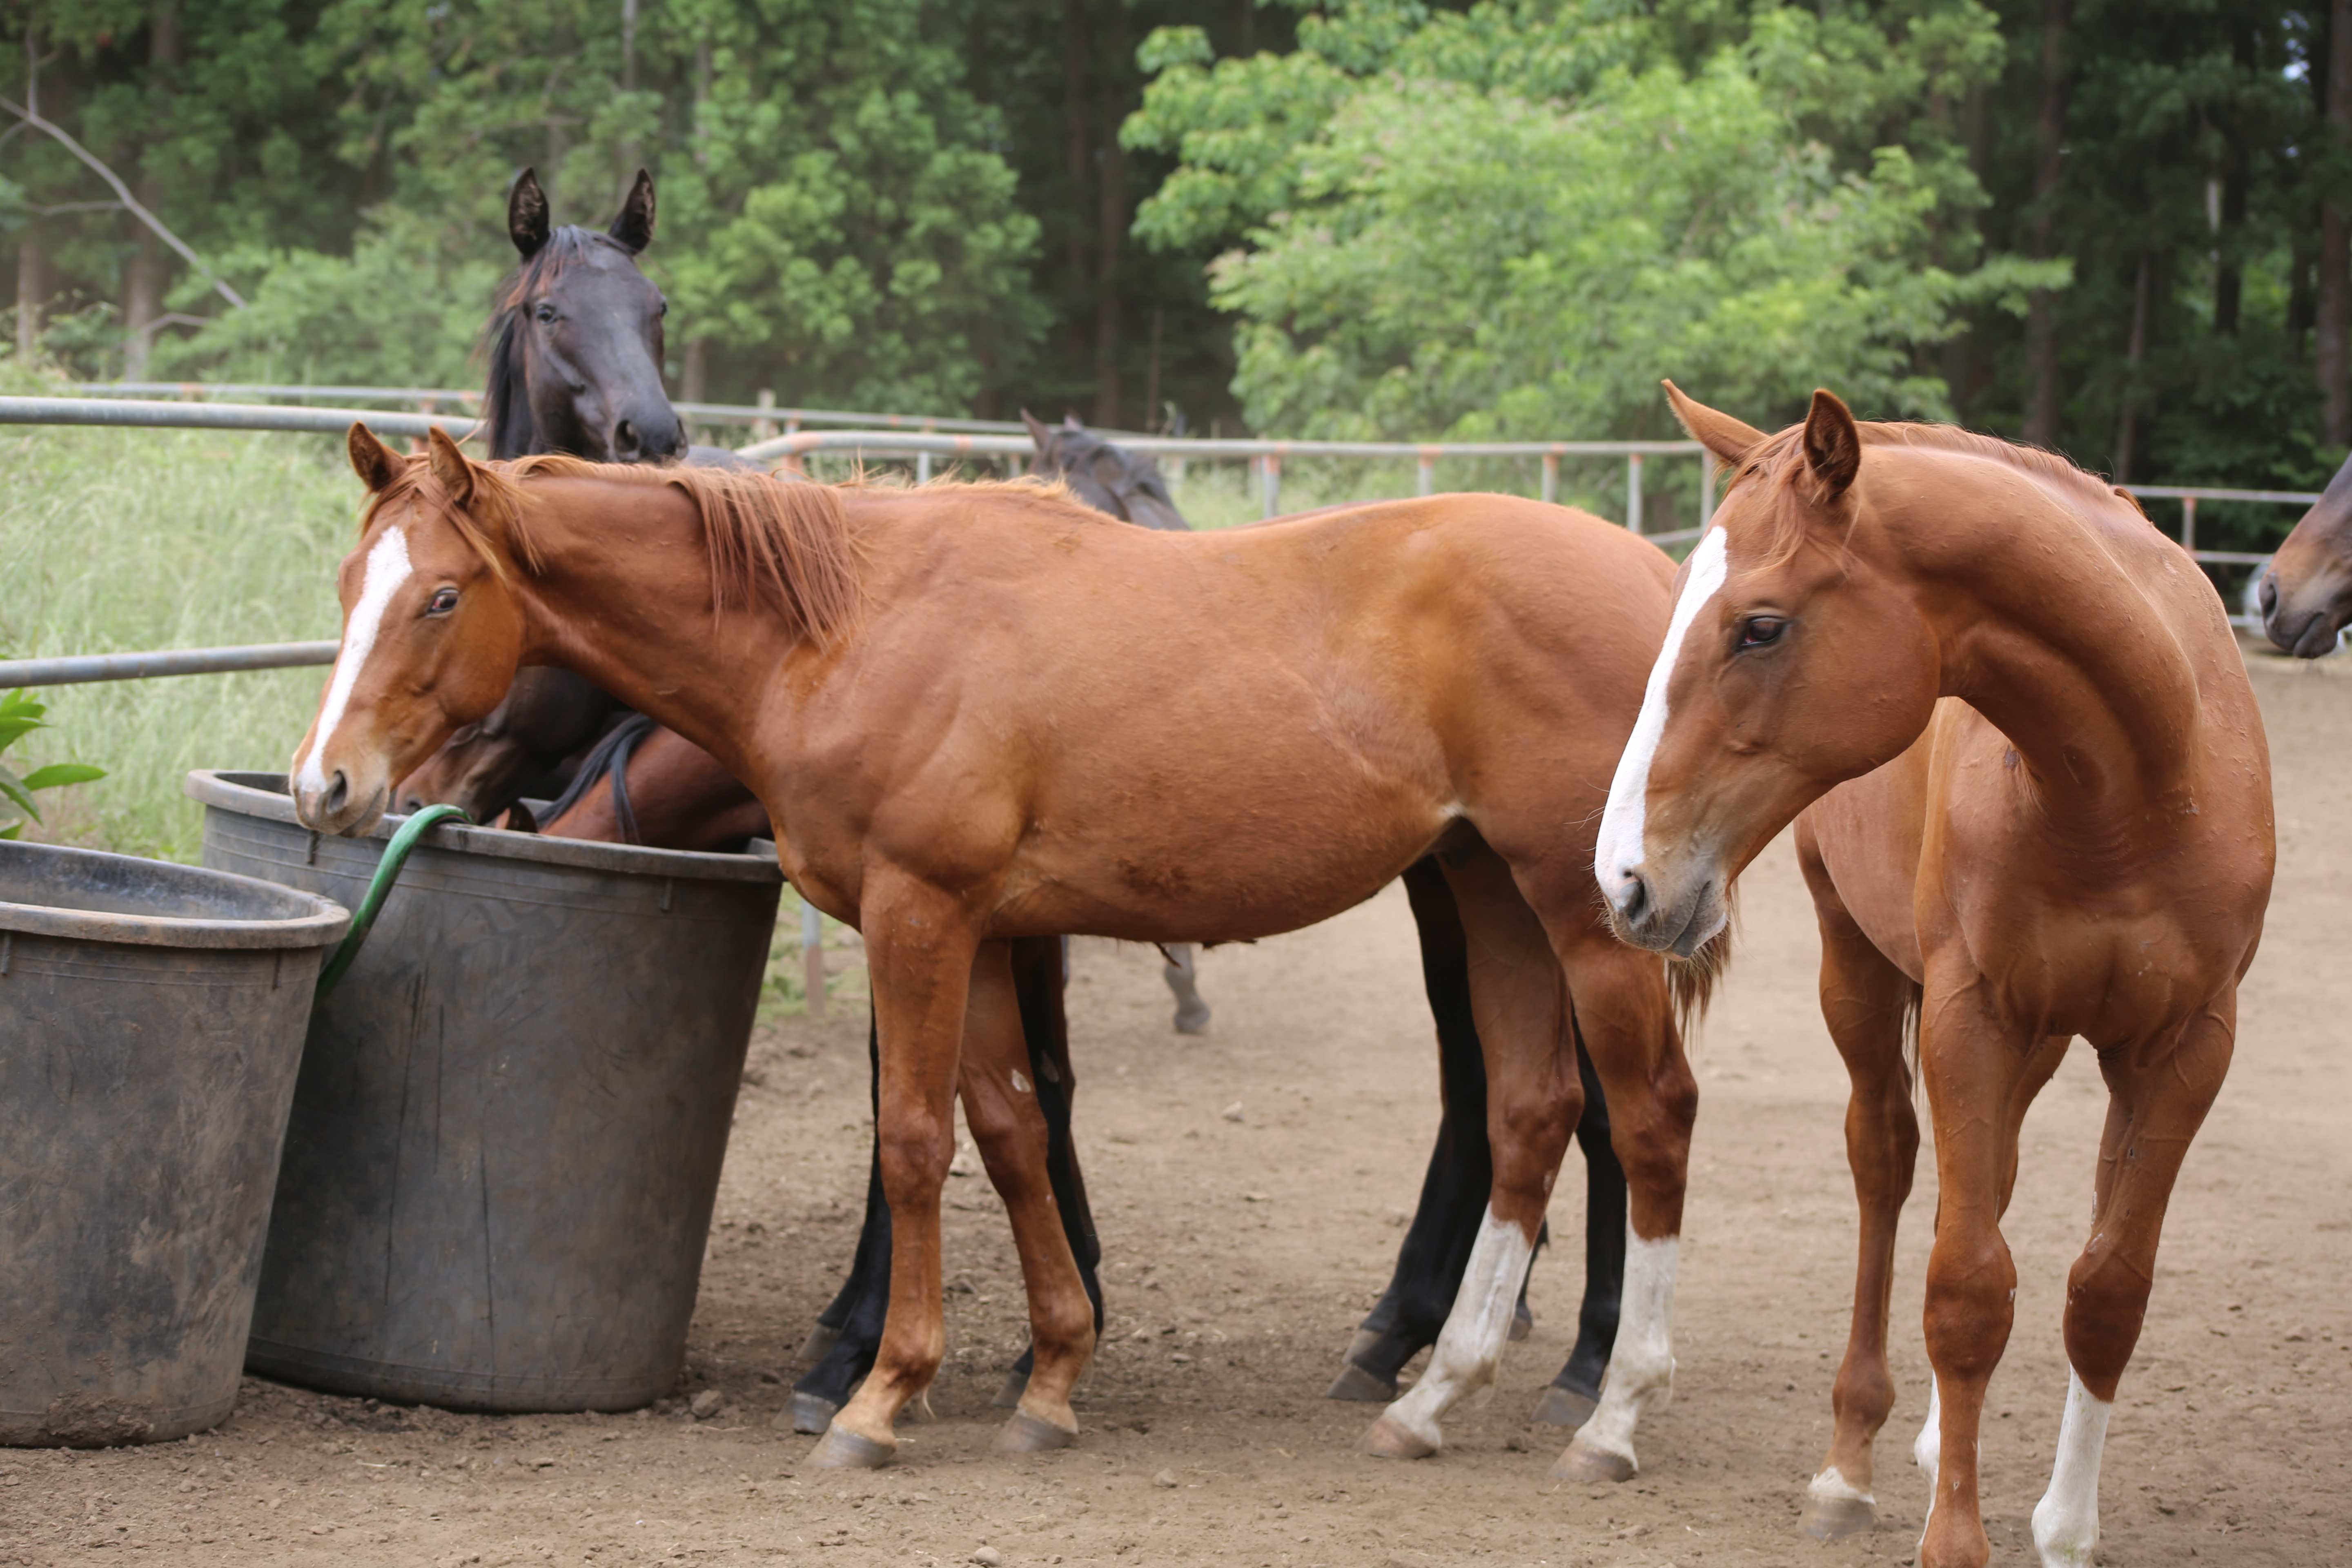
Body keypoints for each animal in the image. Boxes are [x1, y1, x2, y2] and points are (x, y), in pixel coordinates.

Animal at [294, 430, 1703, 1486]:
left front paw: (876, 1393)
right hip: (1489, 894)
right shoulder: (973, 933)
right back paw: (1433, 1392)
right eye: (348, 582)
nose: (328, 785)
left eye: (441, 596)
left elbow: (917, 1140)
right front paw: (1054, 1374)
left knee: (1646, 1119)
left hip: (1580, 915)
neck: (848, 625)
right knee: (1529, 1112)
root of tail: (1658, 578)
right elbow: (1015, 1127)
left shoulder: (920, 915)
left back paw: (1609, 1406)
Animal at [1590, 385, 2267, 1568]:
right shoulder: (1969, 1016)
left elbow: (2106, 1289)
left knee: (1987, 1186)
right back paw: (1851, 1462)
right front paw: (1955, 1533)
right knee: (1889, 1167)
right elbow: (1963, 1287)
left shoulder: (2185, 1048)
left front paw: (2065, 1529)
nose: (1625, 878)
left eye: (1760, 625)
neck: (2133, 786)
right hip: (1857, 972)